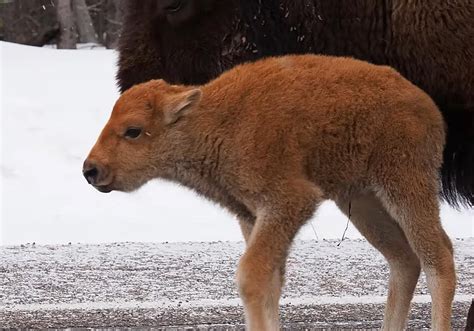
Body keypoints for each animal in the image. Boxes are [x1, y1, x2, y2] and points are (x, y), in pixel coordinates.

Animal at [84, 55, 456, 330]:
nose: (91, 170)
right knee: (404, 260)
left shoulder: (288, 203)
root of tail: (429, 107)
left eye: (133, 130)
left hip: (405, 186)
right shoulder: (251, 216)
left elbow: (251, 277)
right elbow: (271, 284)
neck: (216, 121)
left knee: (438, 258)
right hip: (362, 202)